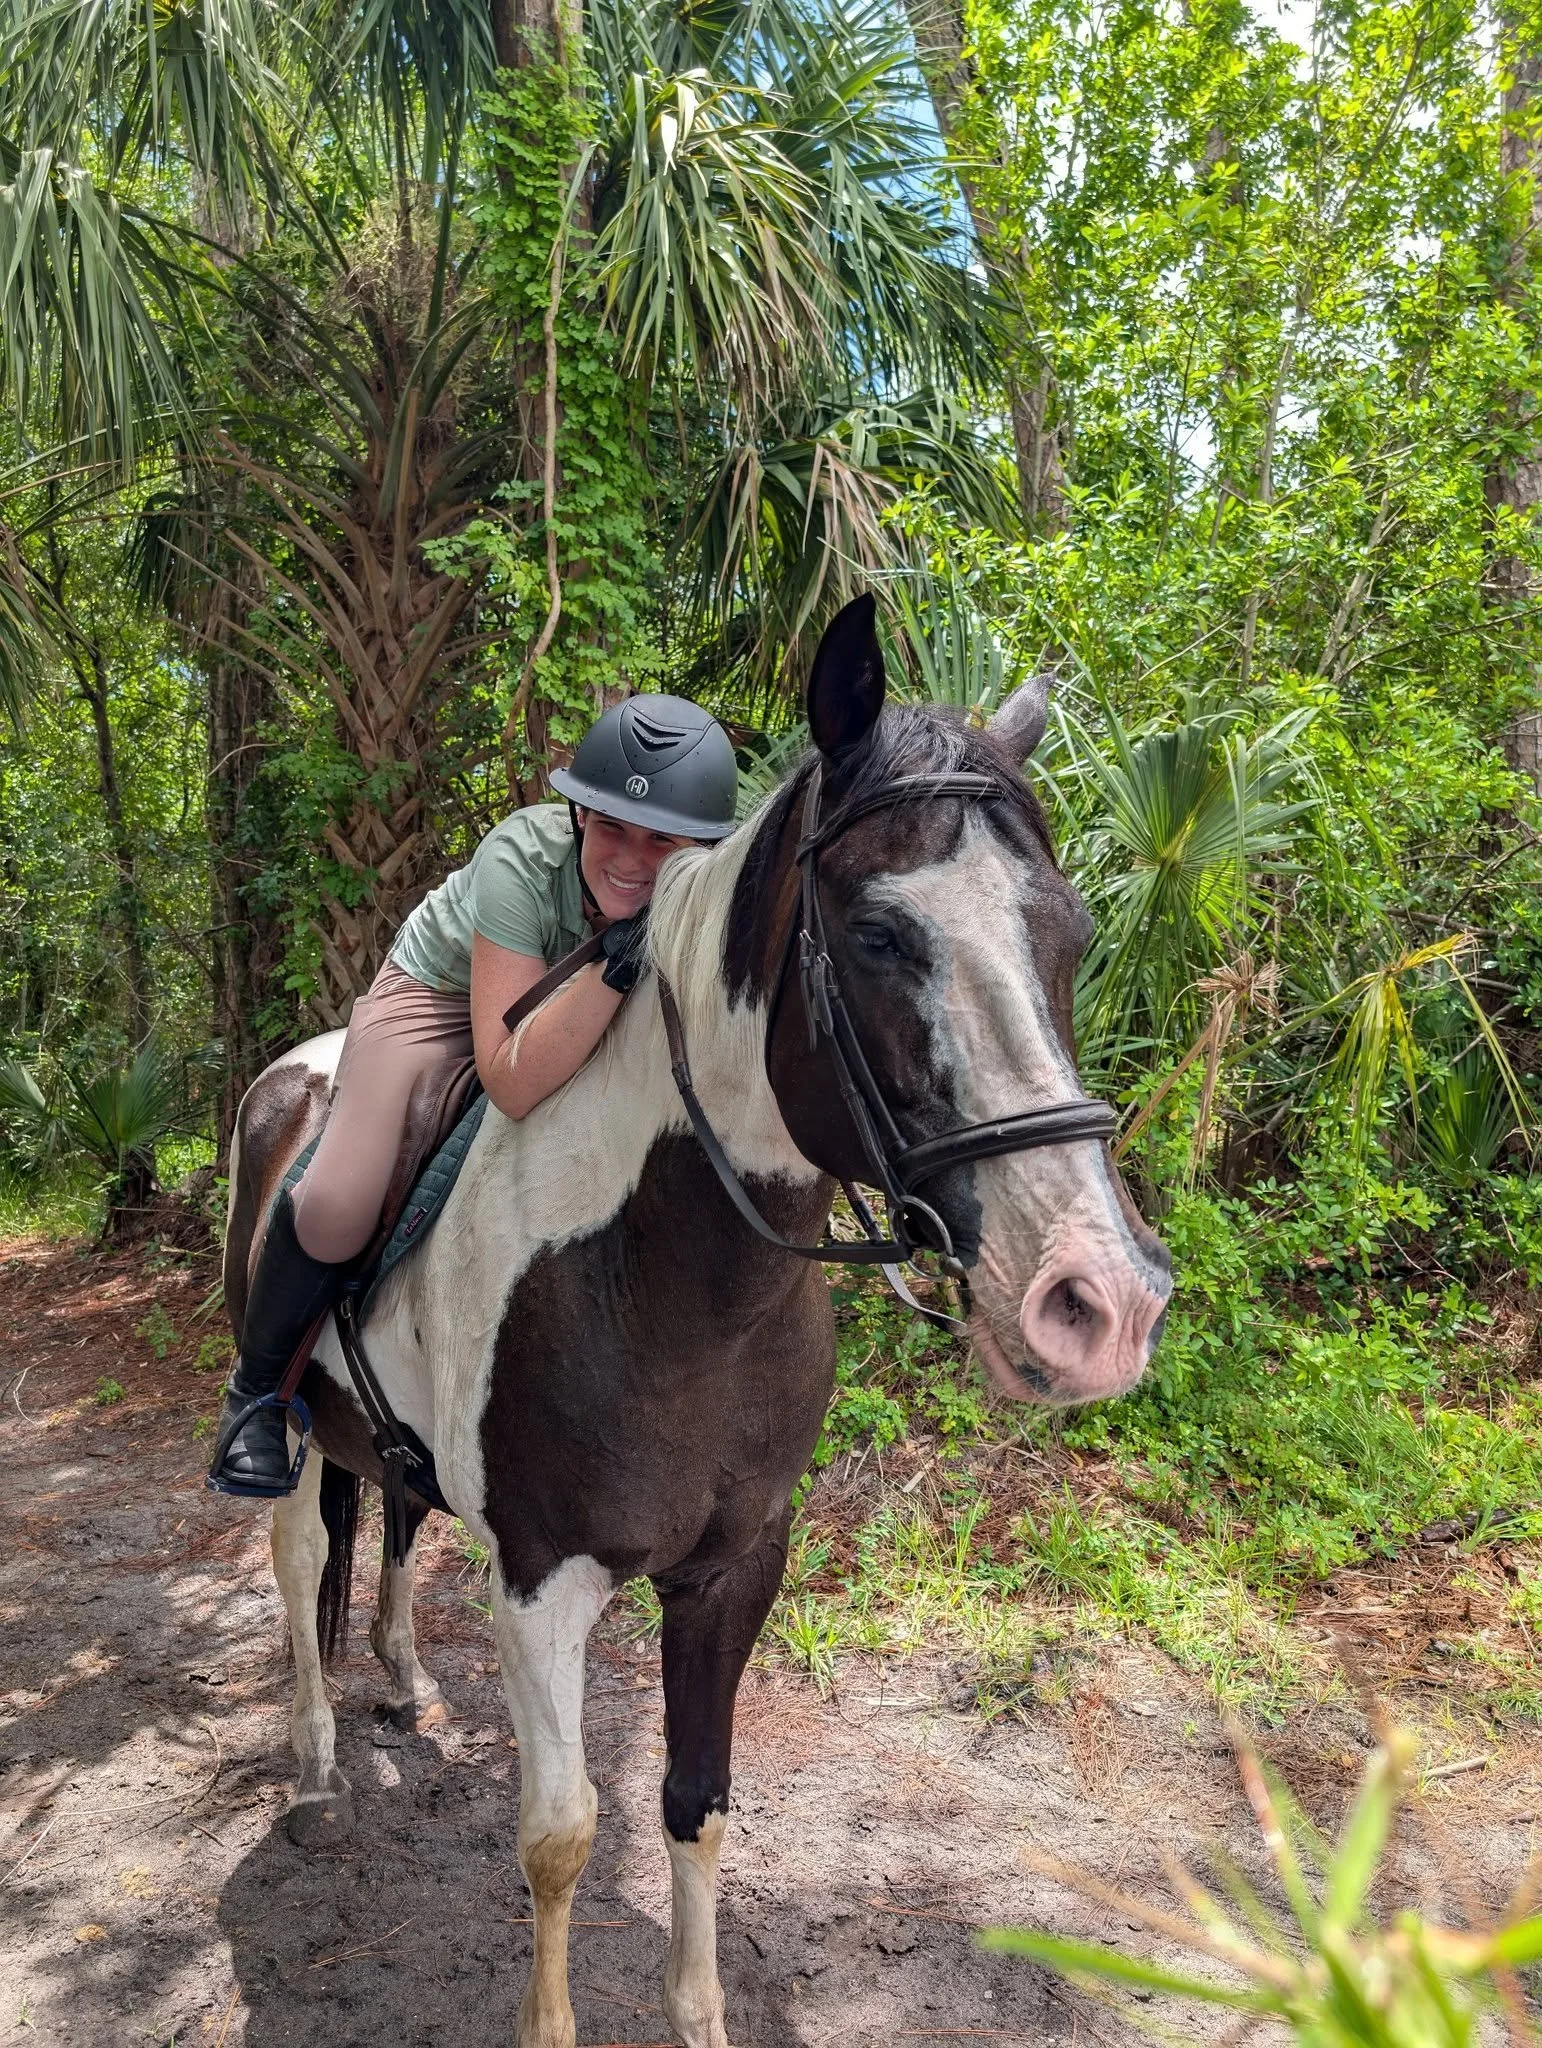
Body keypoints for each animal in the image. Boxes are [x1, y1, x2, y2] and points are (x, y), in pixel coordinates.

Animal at [223, 594, 1172, 2048]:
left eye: (1066, 932)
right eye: (881, 935)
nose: (1098, 1302)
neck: (671, 1287)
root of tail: (296, 1071)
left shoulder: (734, 1566)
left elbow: (695, 1802)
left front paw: (701, 2011)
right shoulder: (543, 1579)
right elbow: (560, 1833)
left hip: (391, 1450)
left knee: (384, 1526)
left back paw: (402, 1678)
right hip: (282, 1405)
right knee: (293, 1553)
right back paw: (319, 1758)